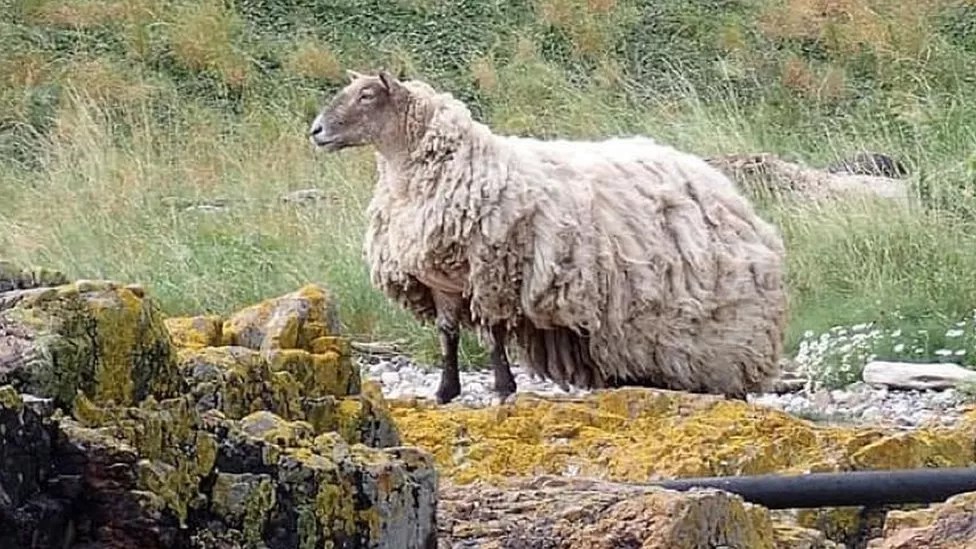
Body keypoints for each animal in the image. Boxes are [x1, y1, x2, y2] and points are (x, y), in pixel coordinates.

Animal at [308, 69, 789, 405]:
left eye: (367, 95)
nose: (316, 131)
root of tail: (730, 194)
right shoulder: (440, 280)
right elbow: (448, 335)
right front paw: (445, 392)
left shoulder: (492, 271)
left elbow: (494, 334)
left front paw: (504, 388)